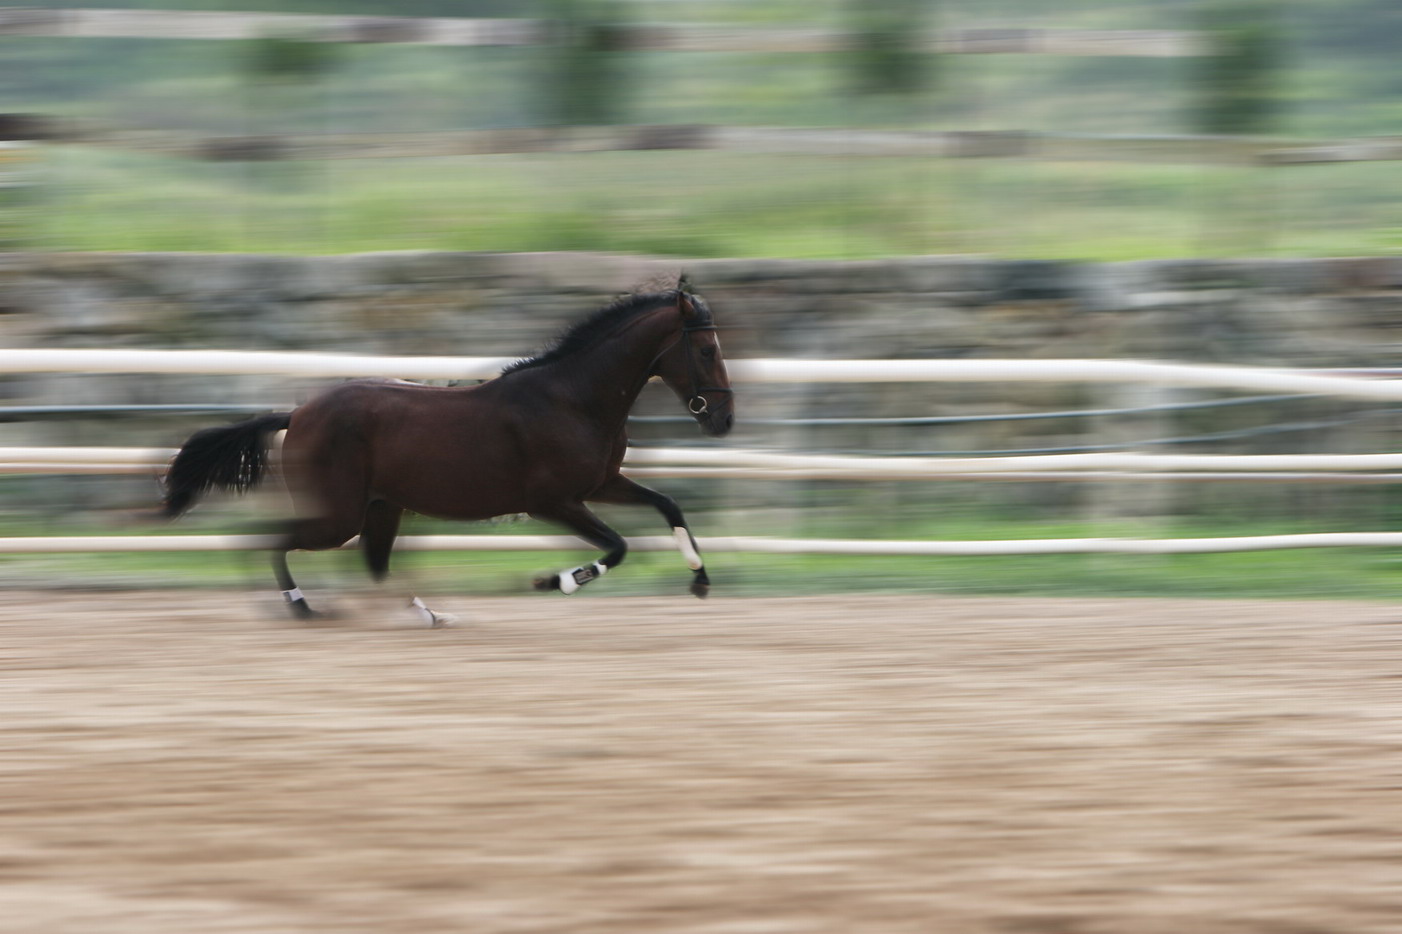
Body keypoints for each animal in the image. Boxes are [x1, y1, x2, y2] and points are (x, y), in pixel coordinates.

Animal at [160, 283, 734, 617]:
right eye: (707, 349)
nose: (723, 420)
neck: (573, 398)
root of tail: (297, 414)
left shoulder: (600, 483)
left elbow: (668, 504)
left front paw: (701, 578)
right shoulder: (553, 501)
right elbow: (617, 547)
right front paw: (553, 581)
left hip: (381, 507)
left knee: (372, 562)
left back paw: (427, 613)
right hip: (338, 515)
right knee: (265, 538)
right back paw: (299, 606)